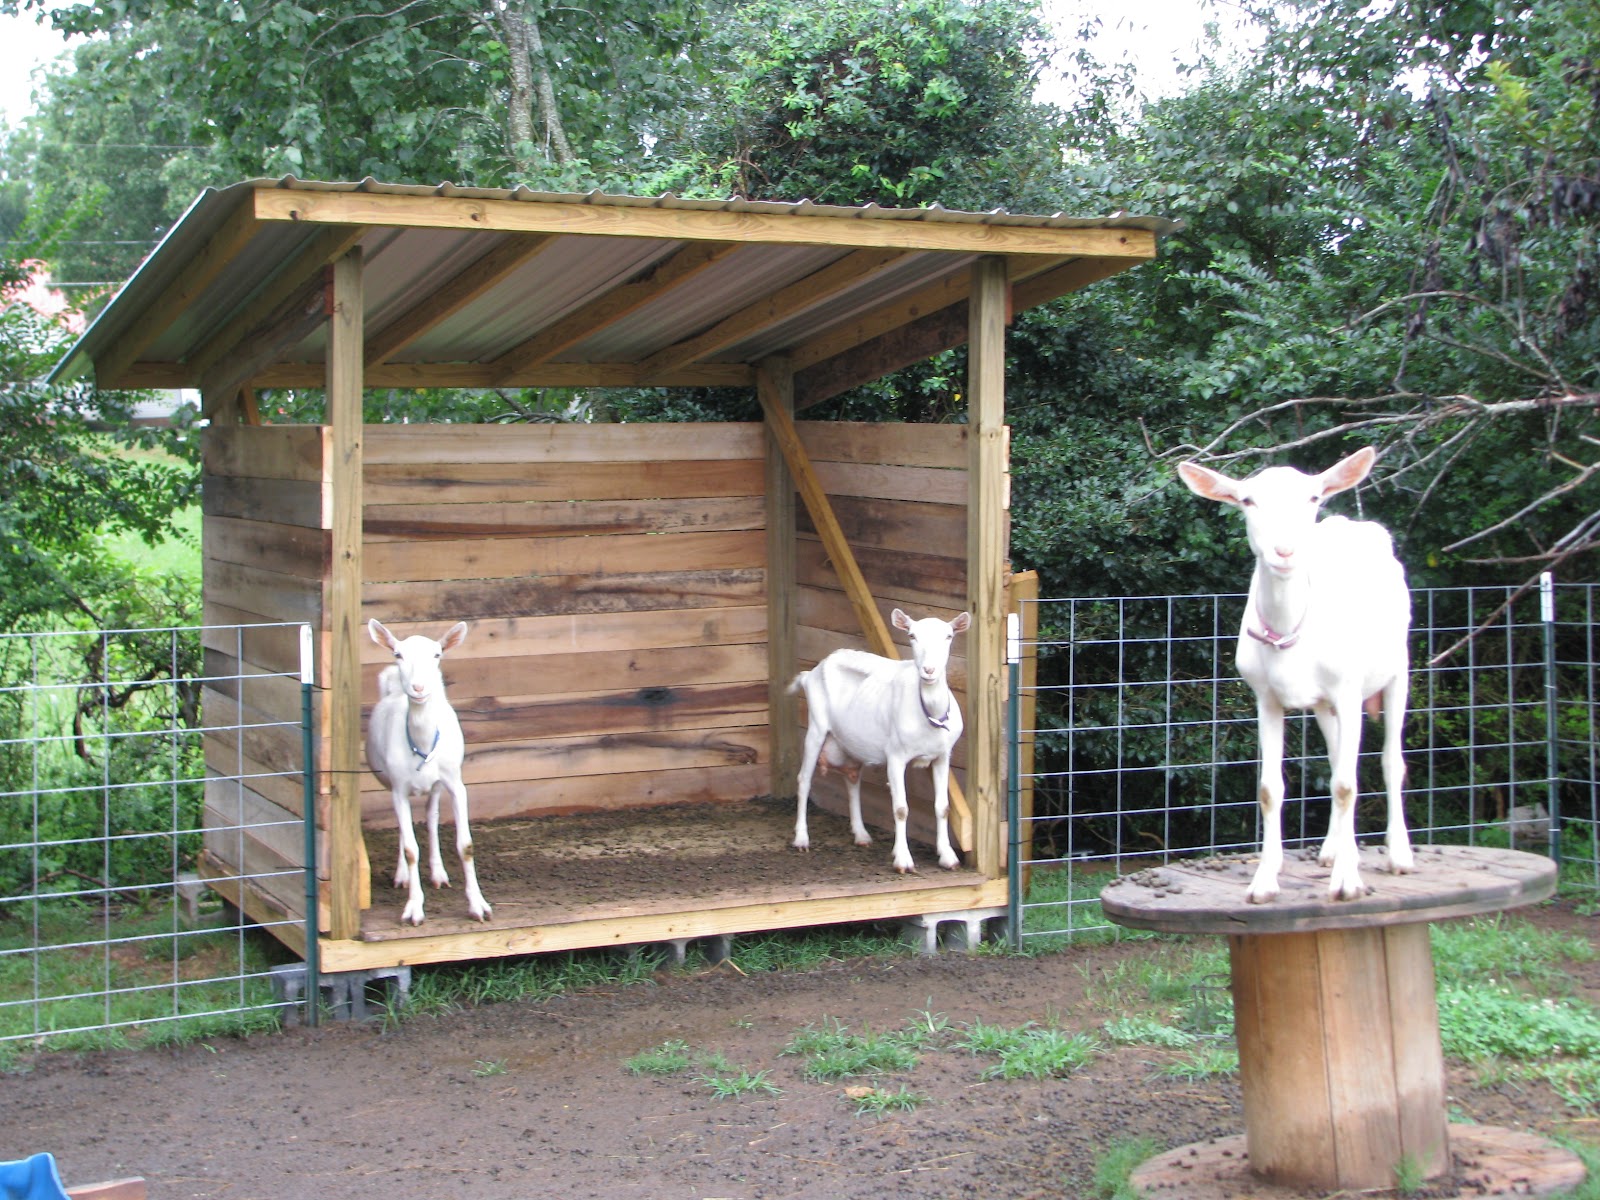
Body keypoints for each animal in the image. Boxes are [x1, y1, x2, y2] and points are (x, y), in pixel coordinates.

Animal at [365, 618, 490, 925]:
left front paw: (479, 906)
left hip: (435, 786)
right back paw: (402, 877)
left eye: (437, 654)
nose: (418, 688)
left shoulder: (455, 783)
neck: (421, 743)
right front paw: (414, 909)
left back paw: (438, 874)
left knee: (432, 817)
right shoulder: (398, 788)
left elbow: (466, 845)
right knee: (405, 827)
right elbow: (411, 848)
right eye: (397, 654)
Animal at [789, 608, 971, 873]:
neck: (929, 712)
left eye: (949, 636)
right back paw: (802, 839)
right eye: (912, 635)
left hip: (850, 744)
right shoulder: (895, 755)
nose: (928, 670)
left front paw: (948, 857)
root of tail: (809, 674)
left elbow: (943, 807)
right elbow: (901, 808)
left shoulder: (942, 757)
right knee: (804, 779)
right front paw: (903, 860)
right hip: (816, 727)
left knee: (852, 779)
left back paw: (861, 835)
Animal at [1177, 447, 1414, 903]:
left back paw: (1399, 855)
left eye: (1313, 497)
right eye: (1247, 500)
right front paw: (1264, 882)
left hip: (1398, 667)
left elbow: (1346, 785)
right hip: (1324, 704)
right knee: (1338, 757)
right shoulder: (1265, 698)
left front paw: (1347, 882)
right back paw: (1334, 849)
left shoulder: (1348, 689)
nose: (1284, 551)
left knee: (1390, 760)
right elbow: (1272, 789)